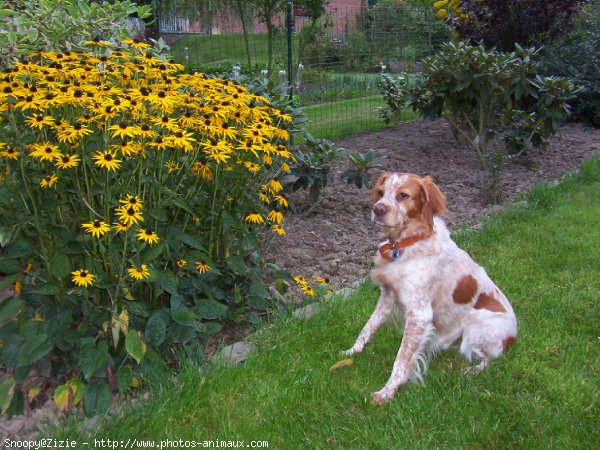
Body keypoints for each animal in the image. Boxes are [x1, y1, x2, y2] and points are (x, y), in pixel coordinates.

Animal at [344, 173, 516, 404]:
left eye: (403, 195)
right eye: (380, 193)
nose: (378, 209)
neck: (406, 244)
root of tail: (514, 336)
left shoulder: (419, 315)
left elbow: (402, 358)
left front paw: (387, 392)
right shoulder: (387, 296)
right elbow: (368, 327)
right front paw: (352, 351)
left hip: (474, 325)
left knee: (488, 358)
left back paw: (471, 370)